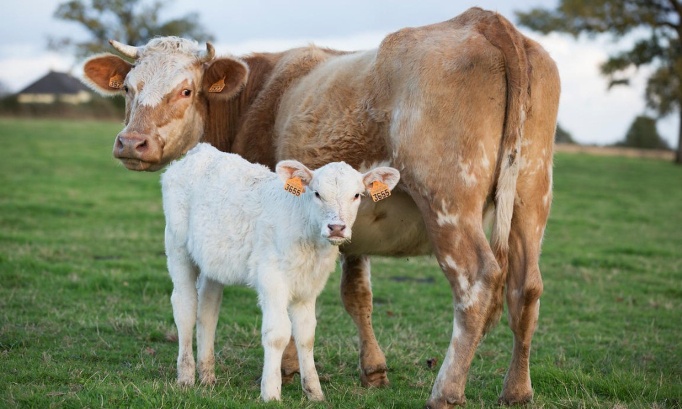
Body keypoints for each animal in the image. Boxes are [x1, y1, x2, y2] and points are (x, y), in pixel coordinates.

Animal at [81, 7, 560, 407]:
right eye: (129, 88)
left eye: (185, 90)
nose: (132, 142)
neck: (258, 96)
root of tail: (484, 20)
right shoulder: (351, 228)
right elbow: (357, 295)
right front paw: (372, 371)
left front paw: (287, 370)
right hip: (532, 197)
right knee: (527, 288)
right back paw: (517, 390)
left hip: (449, 203)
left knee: (477, 282)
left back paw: (445, 391)